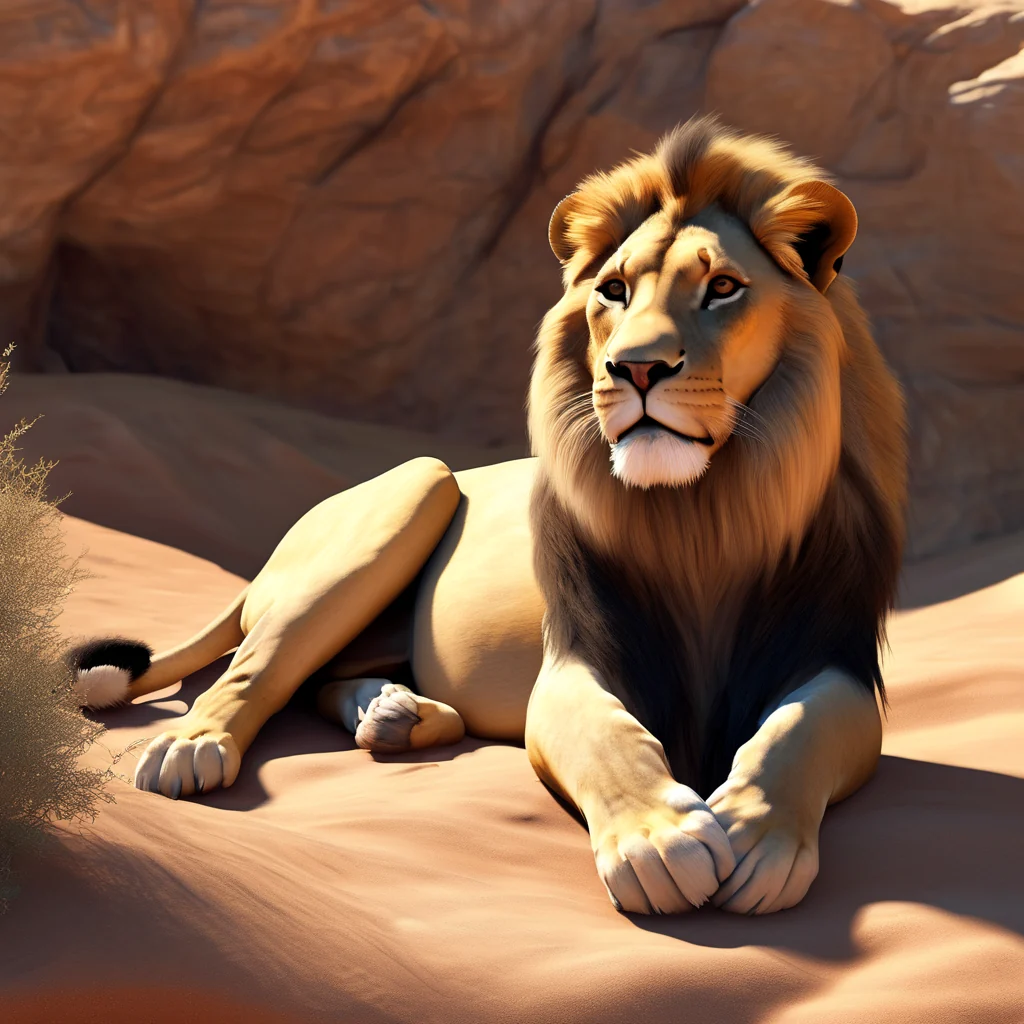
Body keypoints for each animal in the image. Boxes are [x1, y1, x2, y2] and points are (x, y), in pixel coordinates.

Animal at [72, 116, 906, 916]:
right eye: (614, 291)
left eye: (724, 287)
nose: (635, 368)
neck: (702, 513)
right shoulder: (574, 660)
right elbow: (608, 738)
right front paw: (658, 841)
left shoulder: (832, 659)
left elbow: (798, 732)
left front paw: (757, 833)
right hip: (414, 486)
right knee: (256, 667)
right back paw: (192, 748)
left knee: (320, 678)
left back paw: (397, 714)